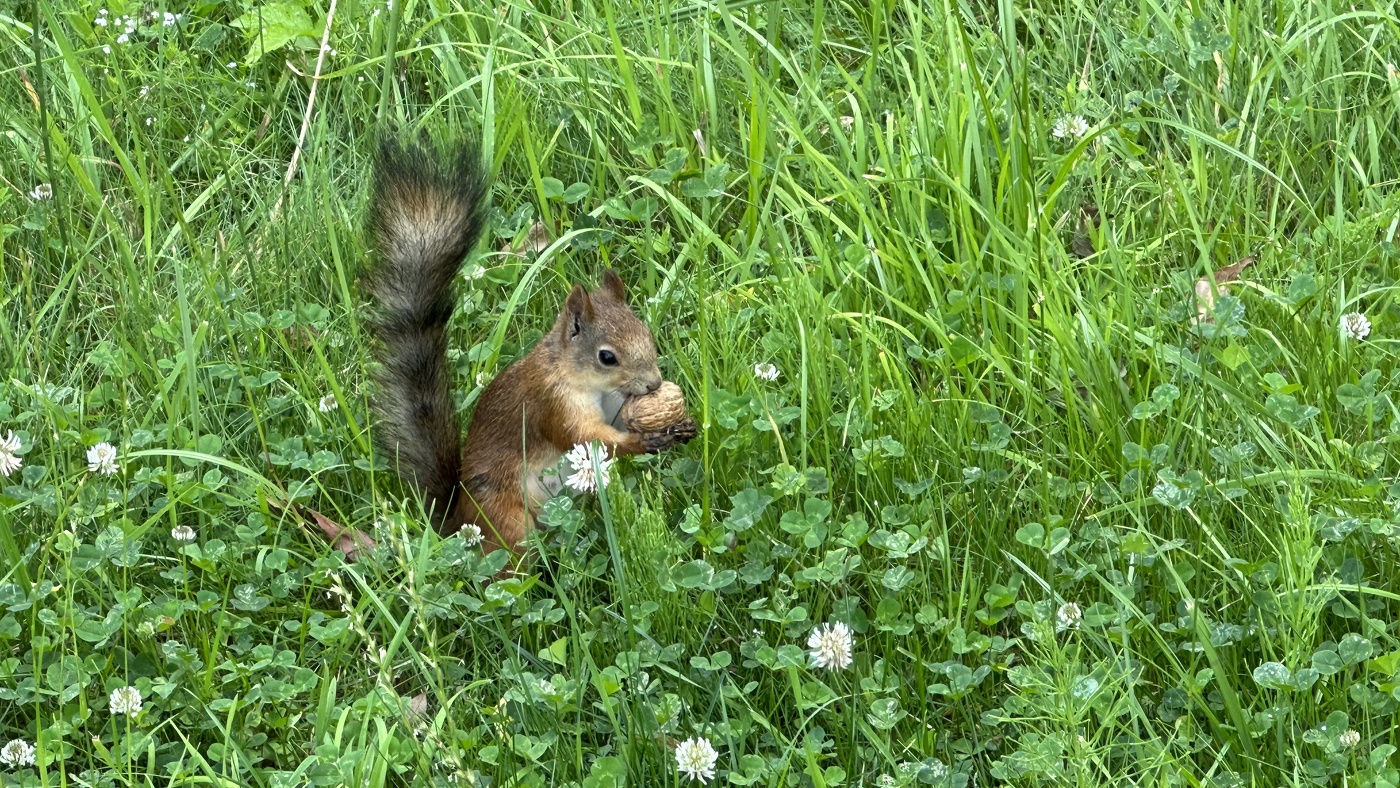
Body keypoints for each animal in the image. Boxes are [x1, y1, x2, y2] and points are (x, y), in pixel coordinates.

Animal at [365, 137, 696, 556]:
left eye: (647, 335)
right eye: (607, 357)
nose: (653, 384)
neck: (583, 381)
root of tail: (457, 523)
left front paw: (678, 424)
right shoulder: (552, 405)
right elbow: (592, 439)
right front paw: (646, 439)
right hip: (507, 519)